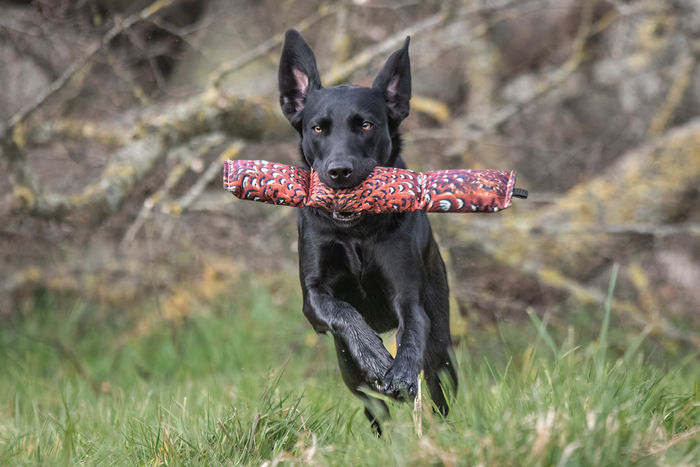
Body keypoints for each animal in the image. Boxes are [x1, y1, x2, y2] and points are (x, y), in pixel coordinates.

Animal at [278, 29, 460, 432]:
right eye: (318, 127)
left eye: (366, 125)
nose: (339, 171)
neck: (354, 231)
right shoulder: (313, 296)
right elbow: (344, 313)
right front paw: (375, 357)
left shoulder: (408, 295)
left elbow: (411, 335)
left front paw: (400, 372)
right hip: (349, 374)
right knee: (371, 405)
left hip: (442, 348)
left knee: (440, 389)